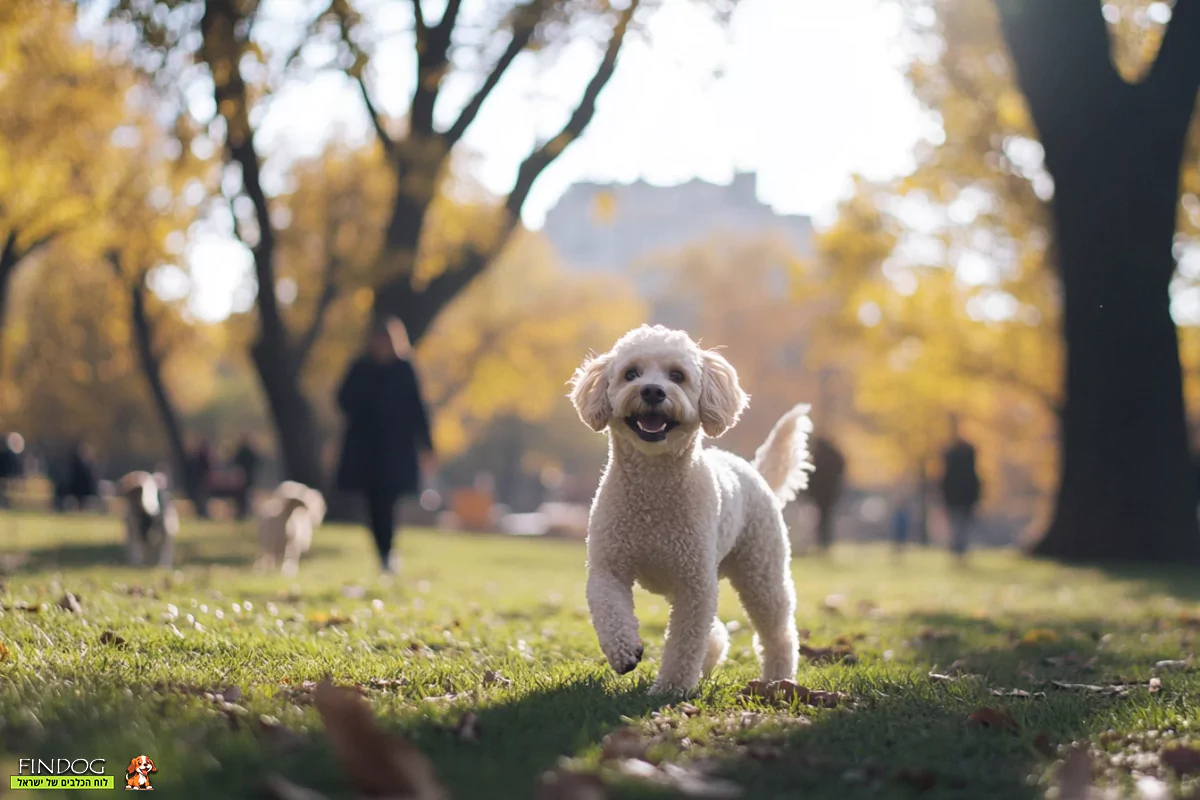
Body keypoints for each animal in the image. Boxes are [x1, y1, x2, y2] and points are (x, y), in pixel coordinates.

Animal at [566, 323, 811, 695]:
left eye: (677, 376)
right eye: (630, 373)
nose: (652, 391)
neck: (653, 491)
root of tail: (754, 471)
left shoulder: (694, 584)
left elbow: (684, 641)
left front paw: (671, 689)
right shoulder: (608, 566)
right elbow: (608, 608)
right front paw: (625, 652)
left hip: (761, 572)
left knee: (778, 632)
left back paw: (777, 680)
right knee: (716, 630)